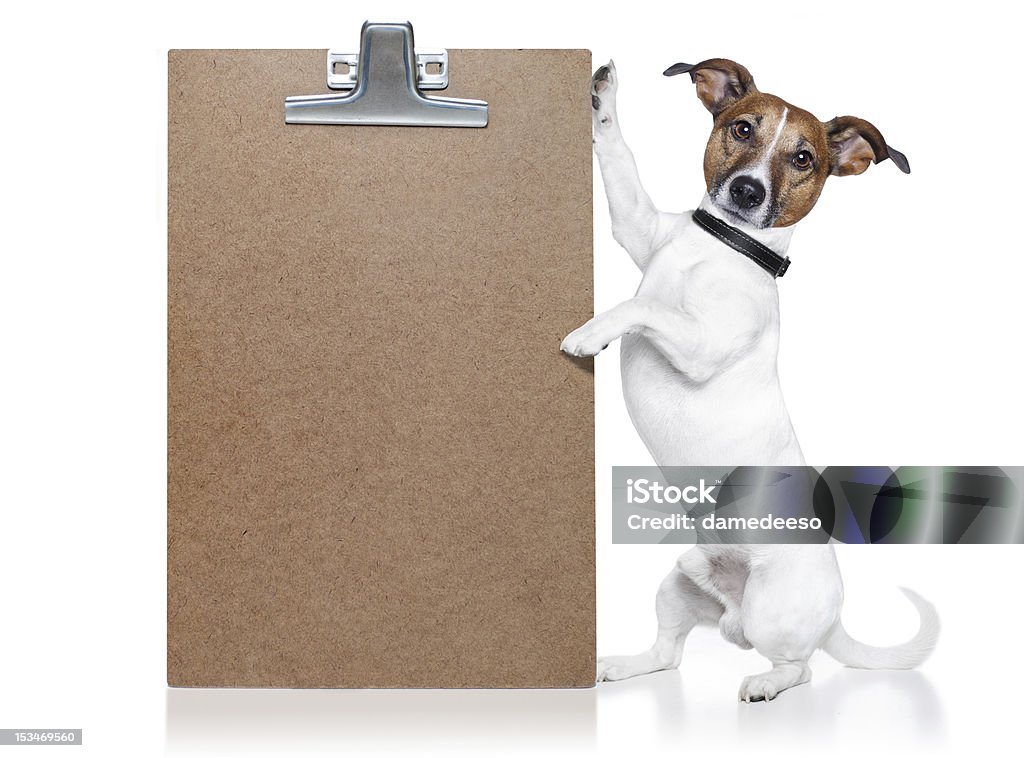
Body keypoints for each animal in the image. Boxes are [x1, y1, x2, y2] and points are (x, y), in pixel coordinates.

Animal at [565, 60, 937, 704]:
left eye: (804, 158)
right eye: (741, 128)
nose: (747, 191)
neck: (723, 248)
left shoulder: (700, 345)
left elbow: (643, 307)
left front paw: (593, 334)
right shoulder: (637, 225)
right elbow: (618, 156)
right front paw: (603, 94)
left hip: (770, 611)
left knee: (801, 666)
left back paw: (766, 683)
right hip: (676, 585)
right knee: (666, 655)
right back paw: (619, 666)